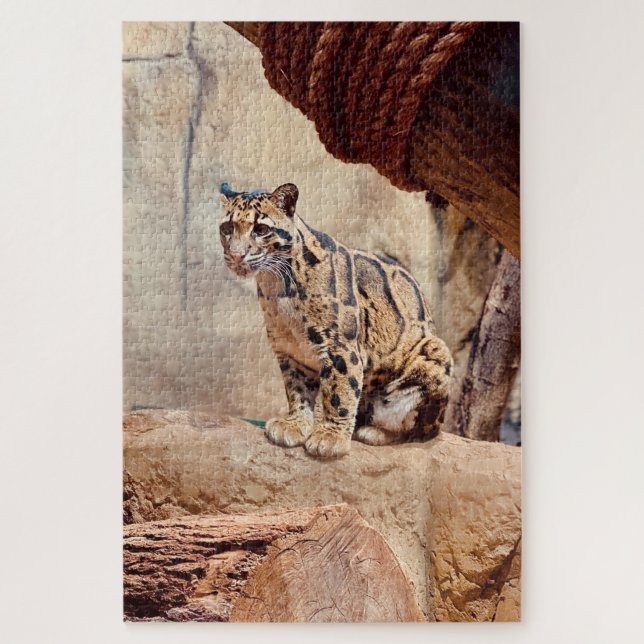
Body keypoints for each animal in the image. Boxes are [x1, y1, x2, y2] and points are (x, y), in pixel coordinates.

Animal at [219, 182, 453, 458]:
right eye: (227, 228)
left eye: (261, 229)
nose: (236, 255)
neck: (276, 285)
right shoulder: (290, 351)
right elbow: (297, 390)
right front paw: (296, 424)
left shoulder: (339, 346)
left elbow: (340, 392)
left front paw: (330, 437)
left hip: (434, 353)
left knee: (421, 429)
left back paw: (375, 432)